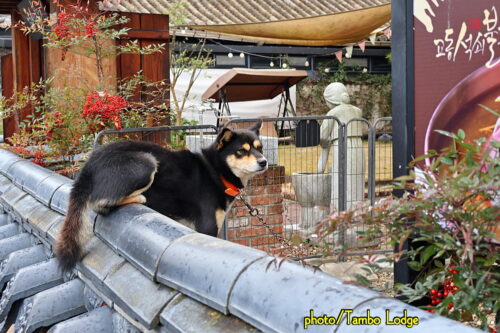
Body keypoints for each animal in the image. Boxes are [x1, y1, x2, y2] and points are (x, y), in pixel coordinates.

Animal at [54, 120, 268, 272]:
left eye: (260, 148)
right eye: (241, 151)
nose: (264, 161)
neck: (217, 171)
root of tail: (89, 165)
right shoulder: (207, 228)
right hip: (146, 162)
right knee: (101, 203)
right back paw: (140, 198)